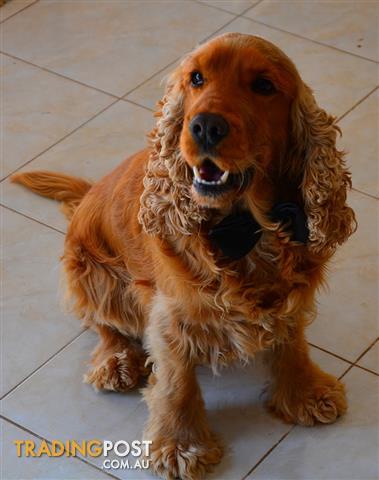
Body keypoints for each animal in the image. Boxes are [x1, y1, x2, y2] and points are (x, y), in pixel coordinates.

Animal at [11, 33, 356, 480]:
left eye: (263, 85)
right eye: (196, 78)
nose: (205, 126)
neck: (245, 229)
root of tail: (86, 194)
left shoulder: (292, 294)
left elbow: (292, 341)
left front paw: (306, 392)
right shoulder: (170, 314)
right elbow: (177, 380)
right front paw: (180, 443)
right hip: (92, 275)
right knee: (102, 324)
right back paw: (117, 362)